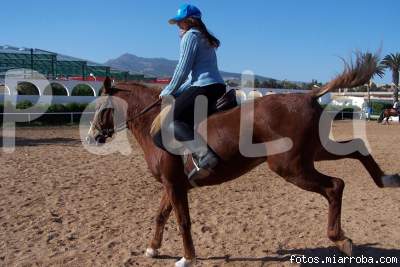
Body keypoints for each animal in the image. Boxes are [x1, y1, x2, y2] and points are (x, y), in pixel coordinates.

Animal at [86, 53, 398, 266]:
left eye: (101, 107)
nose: (92, 137)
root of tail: (308, 95)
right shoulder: (174, 184)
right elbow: (161, 214)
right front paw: (152, 248)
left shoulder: (174, 185)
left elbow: (183, 220)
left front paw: (188, 258)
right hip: (315, 153)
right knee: (358, 149)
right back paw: (387, 180)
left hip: (291, 167)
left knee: (335, 186)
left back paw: (341, 239)